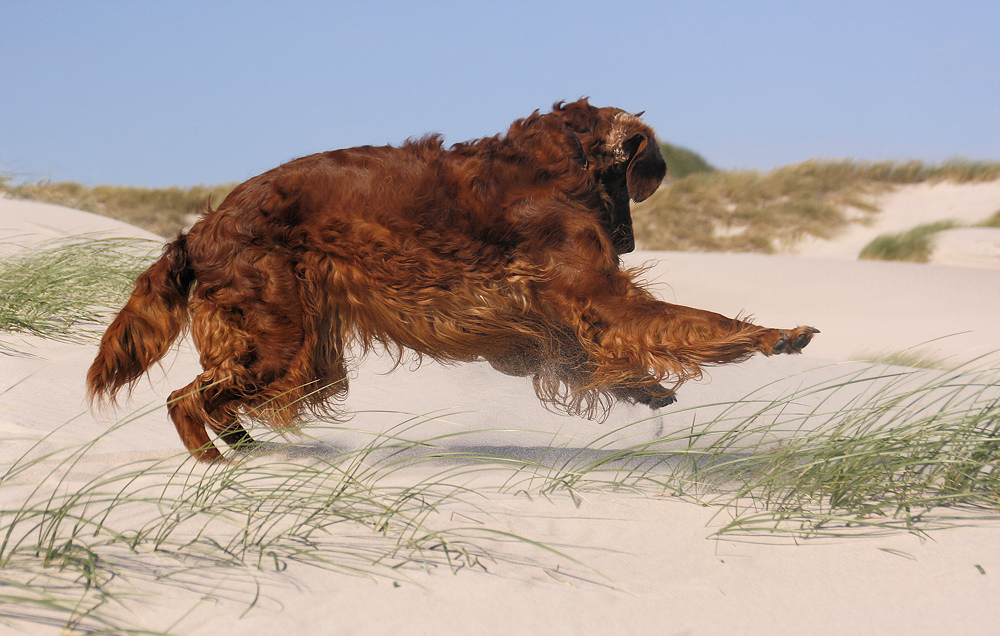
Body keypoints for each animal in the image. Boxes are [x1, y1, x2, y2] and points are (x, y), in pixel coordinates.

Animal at [86, 97, 816, 460]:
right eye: (639, 175)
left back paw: (246, 450)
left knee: (212, 399)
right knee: (185, 400)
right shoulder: (596, 297)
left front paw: (644, 389)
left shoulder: (540, 322)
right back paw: (221, 468)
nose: (629, 240)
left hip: (306, 354)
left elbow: (596, 358)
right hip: (278, 343)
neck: (552, 165)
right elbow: (695, 322)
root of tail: (198, 231)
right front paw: (774, 335)